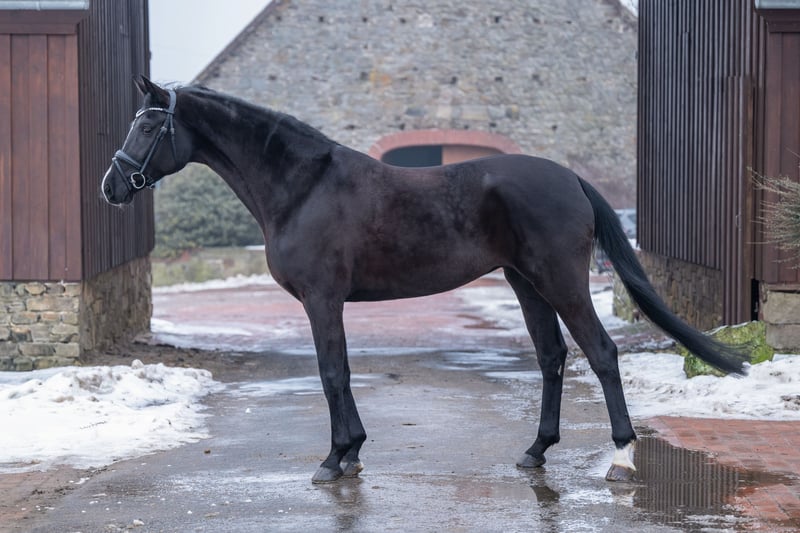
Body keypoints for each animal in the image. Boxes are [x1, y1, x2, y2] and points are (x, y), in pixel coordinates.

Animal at [102, 76, 748, 484]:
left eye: (148, 127)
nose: (111, 187)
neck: (304, 186)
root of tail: (570, 179)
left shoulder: (321, 299)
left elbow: (332, 374)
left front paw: (335, 459)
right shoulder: (327, 301)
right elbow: (339, 373)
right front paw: (352, 455)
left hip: (559, 281)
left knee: (602, 353)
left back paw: (623, 459)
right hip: (525, 283)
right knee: (552, 357)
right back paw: (535, 451)